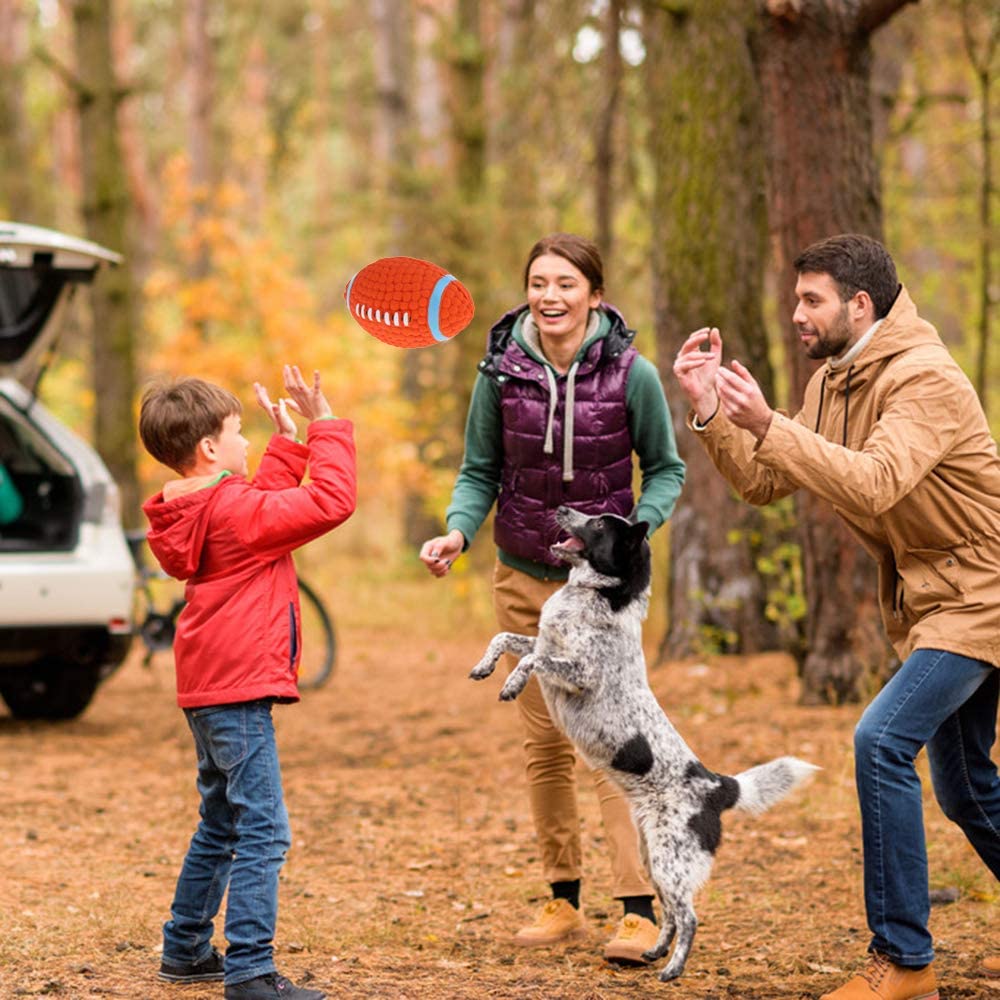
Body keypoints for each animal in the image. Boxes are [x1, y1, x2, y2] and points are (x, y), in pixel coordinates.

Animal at [472, 508, 816, 984]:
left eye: (599, 524)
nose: (561, 509)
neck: (596, 596)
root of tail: (718, 786)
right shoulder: (543, 639)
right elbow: (506, 638)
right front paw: (485, 667)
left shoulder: (578, 671)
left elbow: (529, 659)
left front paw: (510, 683)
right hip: (653, 855)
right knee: (671, 913)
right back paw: (652, 951)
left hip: (670, 860)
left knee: (688, 916)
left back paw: (672, 968)